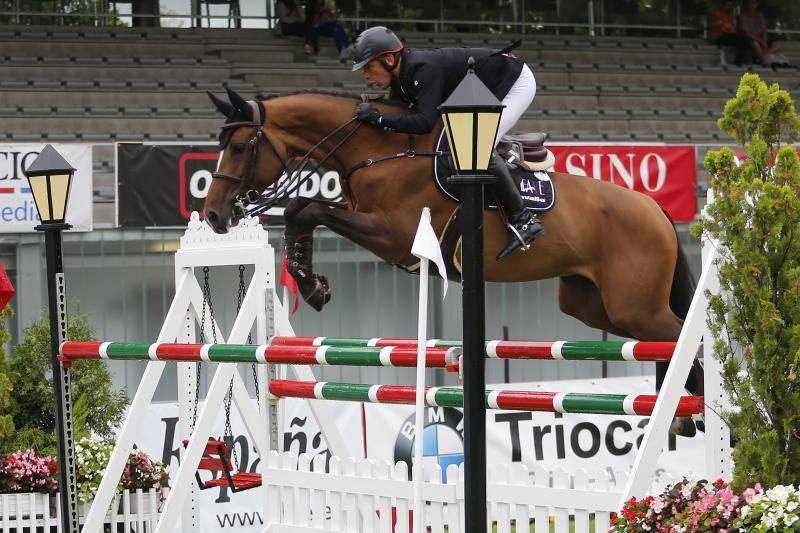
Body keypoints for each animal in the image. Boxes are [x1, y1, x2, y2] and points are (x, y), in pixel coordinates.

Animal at [205, 86, 700, 394]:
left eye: (238, 147)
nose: (213, 215)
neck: (379, 152)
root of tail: (655, 208)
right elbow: (300, 211)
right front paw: (312, 284)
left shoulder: (395, 235)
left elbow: (308, 209)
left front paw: (312, 286)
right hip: (593, 305)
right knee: (661, 339)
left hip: (634, 305)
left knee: (682, 334)